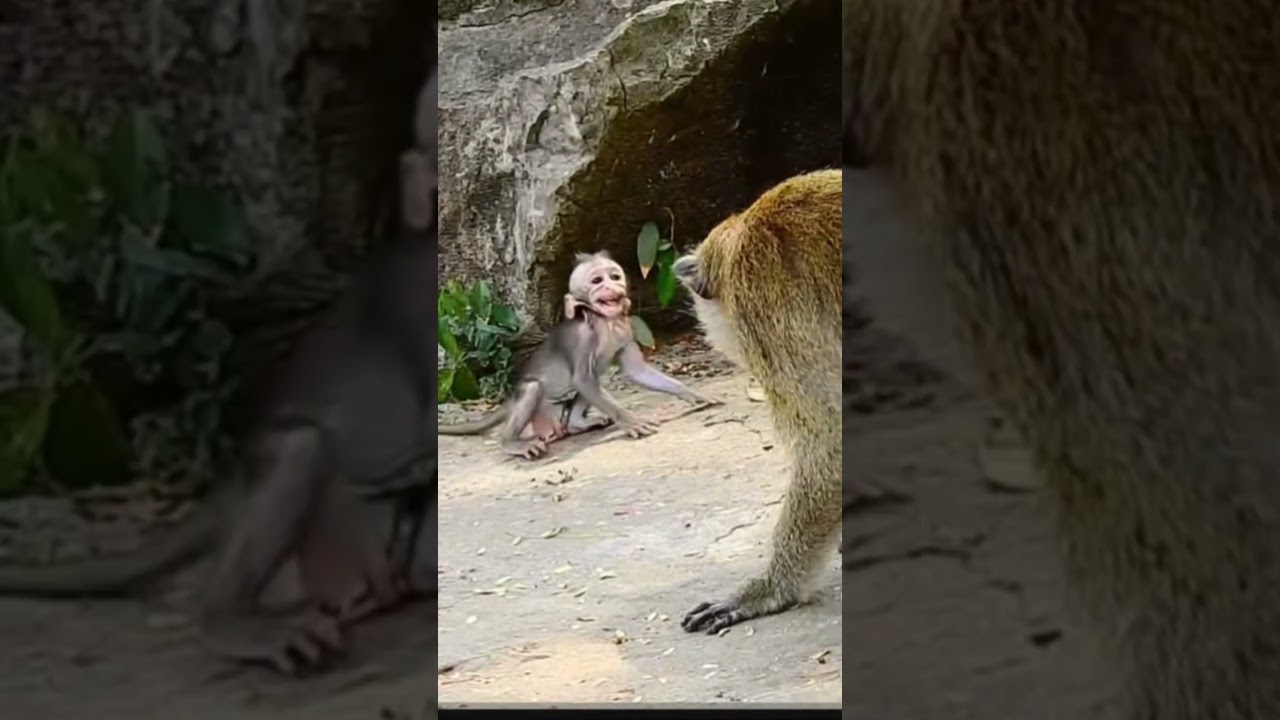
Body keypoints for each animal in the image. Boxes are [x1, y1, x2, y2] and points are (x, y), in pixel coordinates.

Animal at [439, 251, 719, 459]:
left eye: (614, 276)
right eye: (597, 281)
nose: (612, 287)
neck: (605, 322)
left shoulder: (626, 329)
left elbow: (635, 372)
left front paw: (691, 394)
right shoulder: (584, 339)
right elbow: (583, 379)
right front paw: (630, 422)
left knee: (595, 378)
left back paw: (577, 424)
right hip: (537, 416)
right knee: (537, 389)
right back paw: (510, 442)